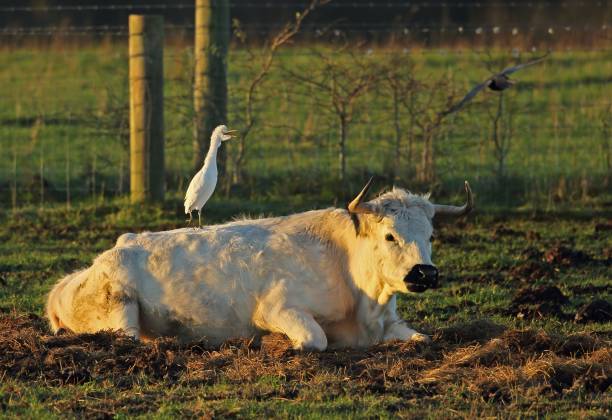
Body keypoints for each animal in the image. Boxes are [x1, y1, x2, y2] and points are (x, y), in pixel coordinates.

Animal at [46, 180, 474, 352]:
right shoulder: (276, 309)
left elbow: (422, 339)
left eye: (430, 235)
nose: (425, 273)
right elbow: (314, 339)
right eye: (389, 236)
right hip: (120, 313)